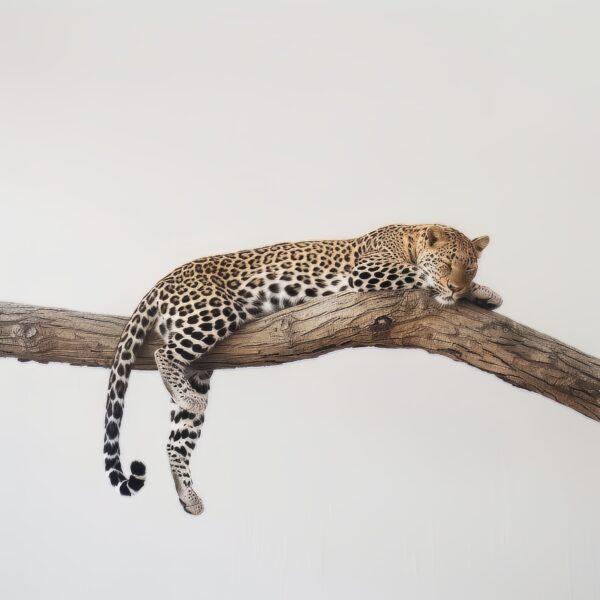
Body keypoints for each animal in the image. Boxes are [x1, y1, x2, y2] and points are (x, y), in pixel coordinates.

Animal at [103, 223, 502, 512]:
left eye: (469, 266)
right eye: (447, 263)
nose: (457, 286)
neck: (410, 238)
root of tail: (162, 282)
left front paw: (480, 292)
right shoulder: (369, 269)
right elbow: (419, 275)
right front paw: (468, 290)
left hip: (199, 369)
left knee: (175, 440)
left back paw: (188, 492)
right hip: (210, 314)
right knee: (163, 354)